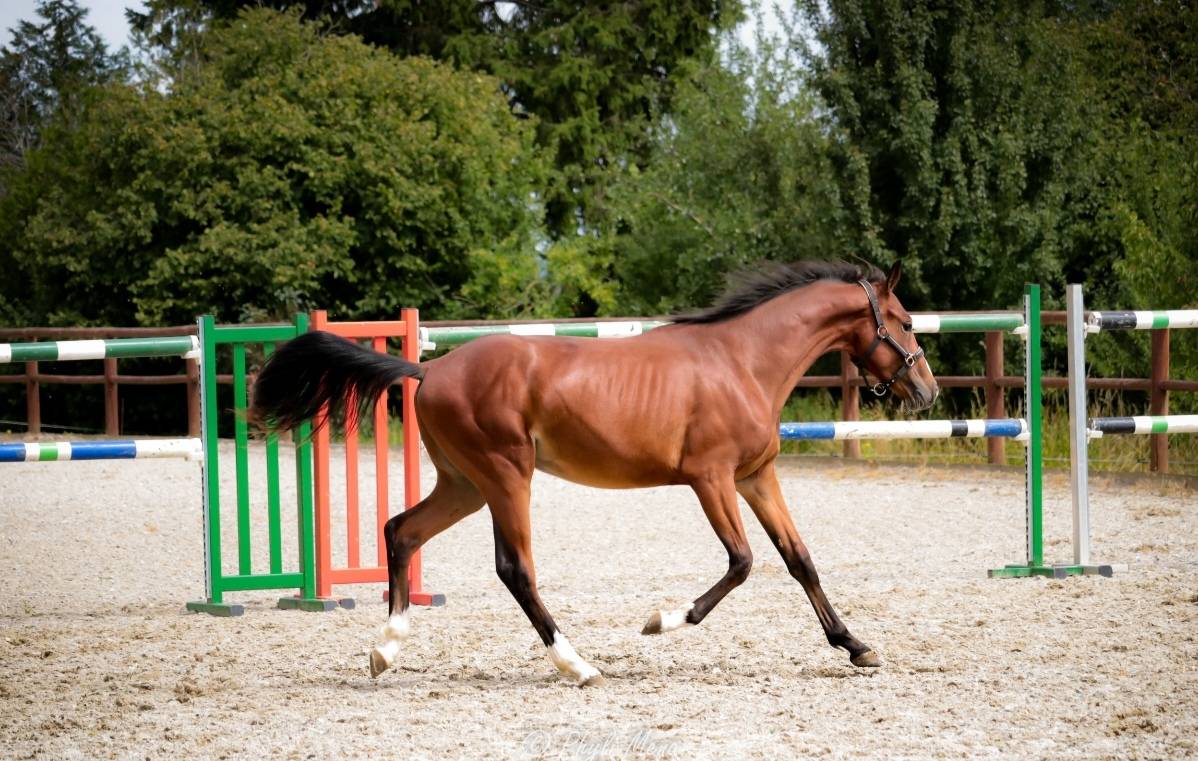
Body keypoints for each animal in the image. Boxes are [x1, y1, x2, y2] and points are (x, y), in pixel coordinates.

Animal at [250, 260, 938, 686]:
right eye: (905, 324)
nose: (928, 392)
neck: (743, 361)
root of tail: (431, 368)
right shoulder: (711, 479)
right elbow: (743, 562)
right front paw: (660, 621)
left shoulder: (756, 478)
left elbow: (800, 561)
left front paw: (857, 647)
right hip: (507, 477)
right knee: (514, 568)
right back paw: (577, 667)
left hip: (466, 485)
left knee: (402, 531)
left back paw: (385, 650)